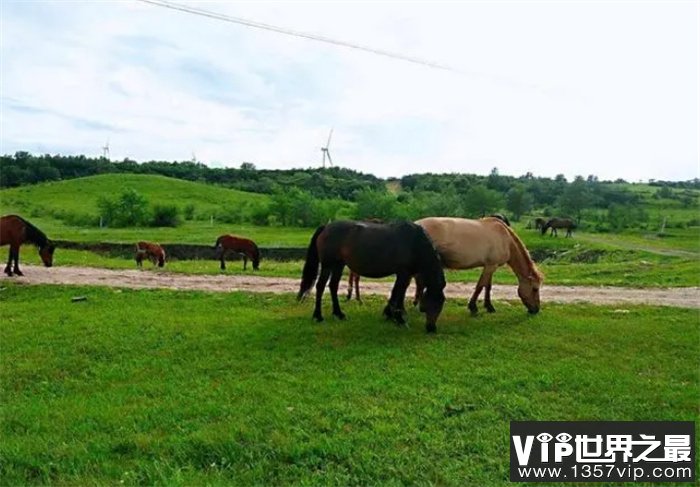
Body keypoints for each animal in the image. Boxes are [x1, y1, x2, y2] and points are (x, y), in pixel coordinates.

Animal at [298, 220, 446, 332]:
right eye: (432, 303)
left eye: (441, 304)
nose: (431, 328)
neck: (415, 242)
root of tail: (326, 227)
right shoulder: (403, 273)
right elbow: (399, 293)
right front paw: (399, 319)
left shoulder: (403, 274)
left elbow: (396, 293)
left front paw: (390, 315)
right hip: (328, 265)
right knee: (320, 286)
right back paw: (318, 316)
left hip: (339, 265)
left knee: (333, 286)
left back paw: (339, 314)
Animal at [412, 217, 544, 316]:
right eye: (535, 289)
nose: (536, 309)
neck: (505, 238)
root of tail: (416, 224)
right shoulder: (491, 266)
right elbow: (480, 286)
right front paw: (473, 307)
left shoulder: (490, 266)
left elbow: (487, 286)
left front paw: (489, 306)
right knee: (421, 283)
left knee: (420, 283)